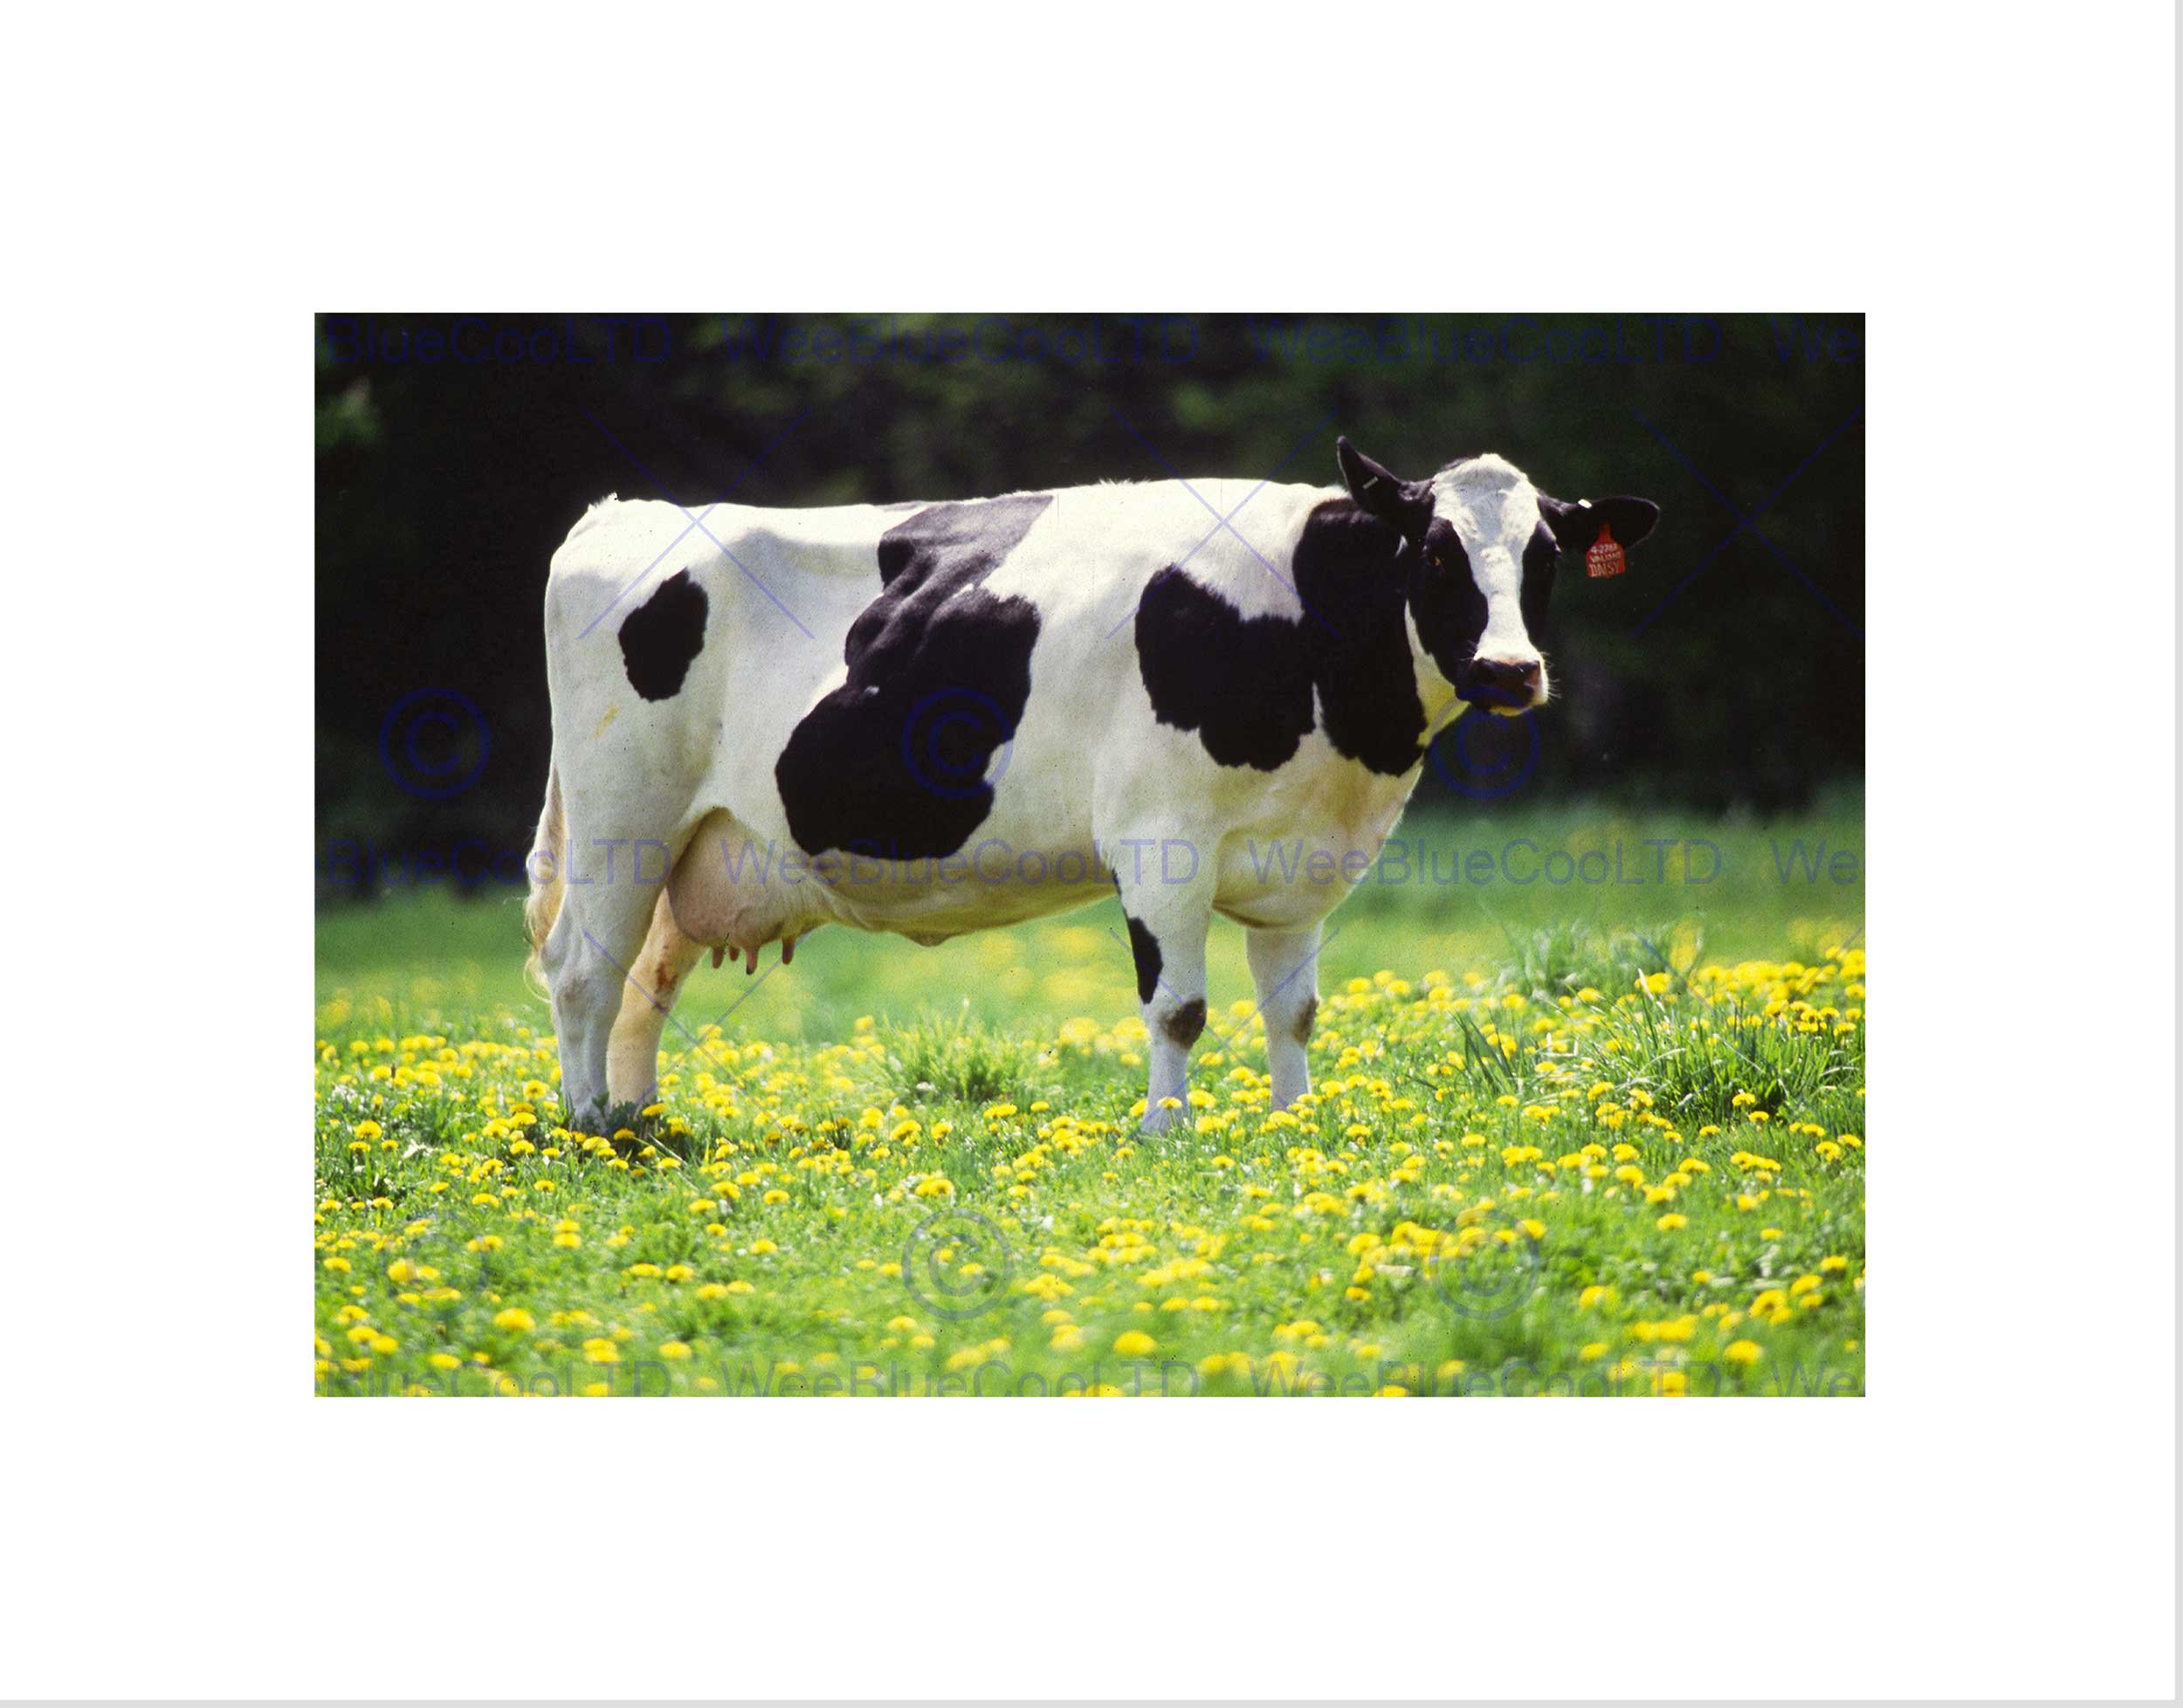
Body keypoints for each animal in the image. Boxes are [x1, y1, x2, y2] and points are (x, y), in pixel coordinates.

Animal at [523, 438, 1657, 1130]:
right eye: (1433, 553)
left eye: (1546, 556)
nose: (1509, 671)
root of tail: (623, 514)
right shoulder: (1162, 841)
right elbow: (1179, 1008)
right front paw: (1169, 1128)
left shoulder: (1300, 866)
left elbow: (1293, 1011)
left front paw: (1293, 1122)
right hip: (622, 819)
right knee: (582, 969)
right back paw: (589, 1127)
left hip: (699, 844)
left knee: (645, 980)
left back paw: (641, 1118)